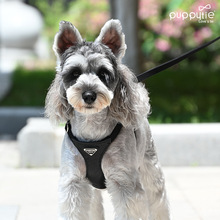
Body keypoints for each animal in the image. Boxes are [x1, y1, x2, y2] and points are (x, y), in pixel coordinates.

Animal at [45, 19, 171, 220]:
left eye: (103, 73)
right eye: (75, 73)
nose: (89, 95)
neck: (92, 128)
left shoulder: (125, 183)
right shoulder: (73, 182)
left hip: (150, 171)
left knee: (158, 199)